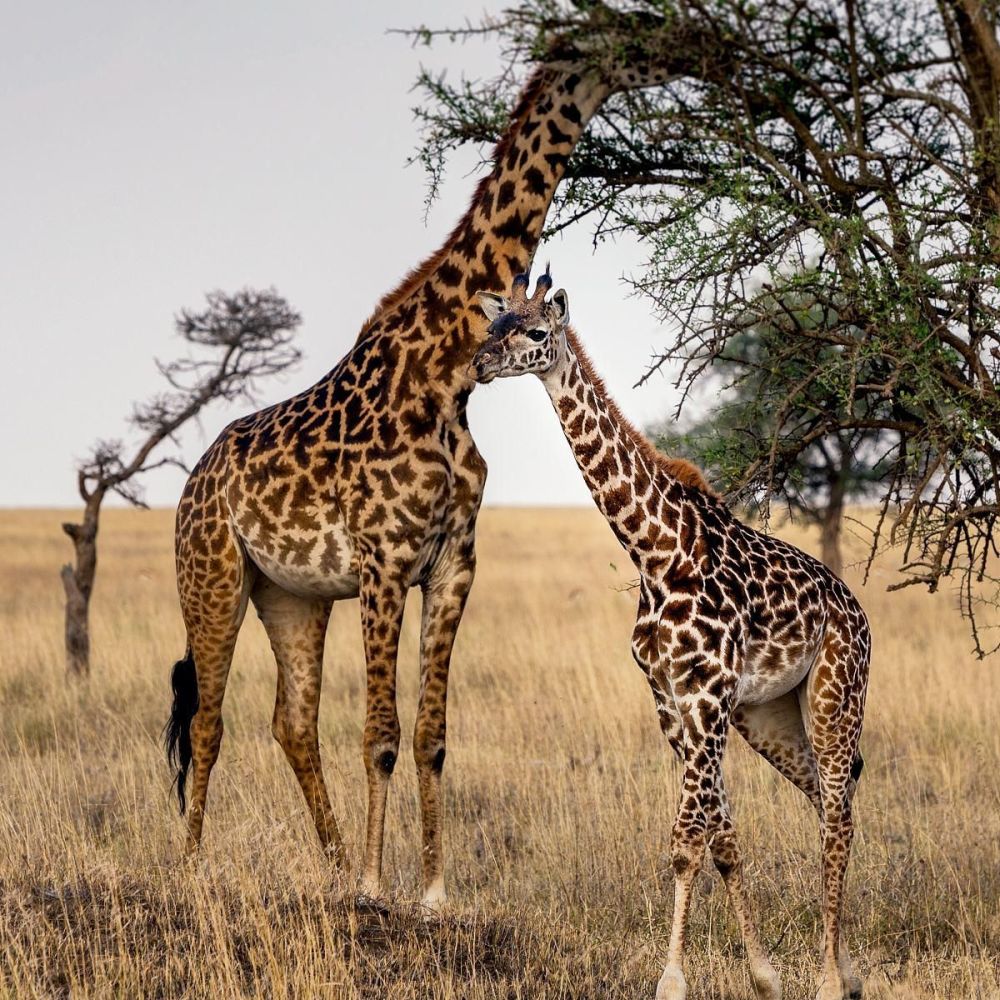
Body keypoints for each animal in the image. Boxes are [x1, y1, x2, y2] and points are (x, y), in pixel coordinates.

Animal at [164, 47, 684, 912]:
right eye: (627, 39)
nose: (681, 54)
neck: (443, 377)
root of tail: (193, 483)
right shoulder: (383, 563)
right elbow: (380, 733)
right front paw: (380, 887)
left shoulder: (452, 565)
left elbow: (432, 736)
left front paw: (432, 891)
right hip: (212, 575)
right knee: (208, 717)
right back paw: (195, 866)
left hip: (293, 597)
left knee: (291, 723)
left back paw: (334, 865)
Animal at [472, 274, 872, 1000]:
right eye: (495, 327)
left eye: (537, 332)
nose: (480, 365)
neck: (654, 551)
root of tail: (858, 613)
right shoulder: (670, 698)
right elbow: (721, 839)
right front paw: (763, 972)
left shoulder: (708, 694)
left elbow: (687, 841)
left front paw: (672, 981)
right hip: (768, 715)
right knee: (830, 802)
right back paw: (848, 970)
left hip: (836, 694)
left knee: (837, 811)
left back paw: (831, 979)